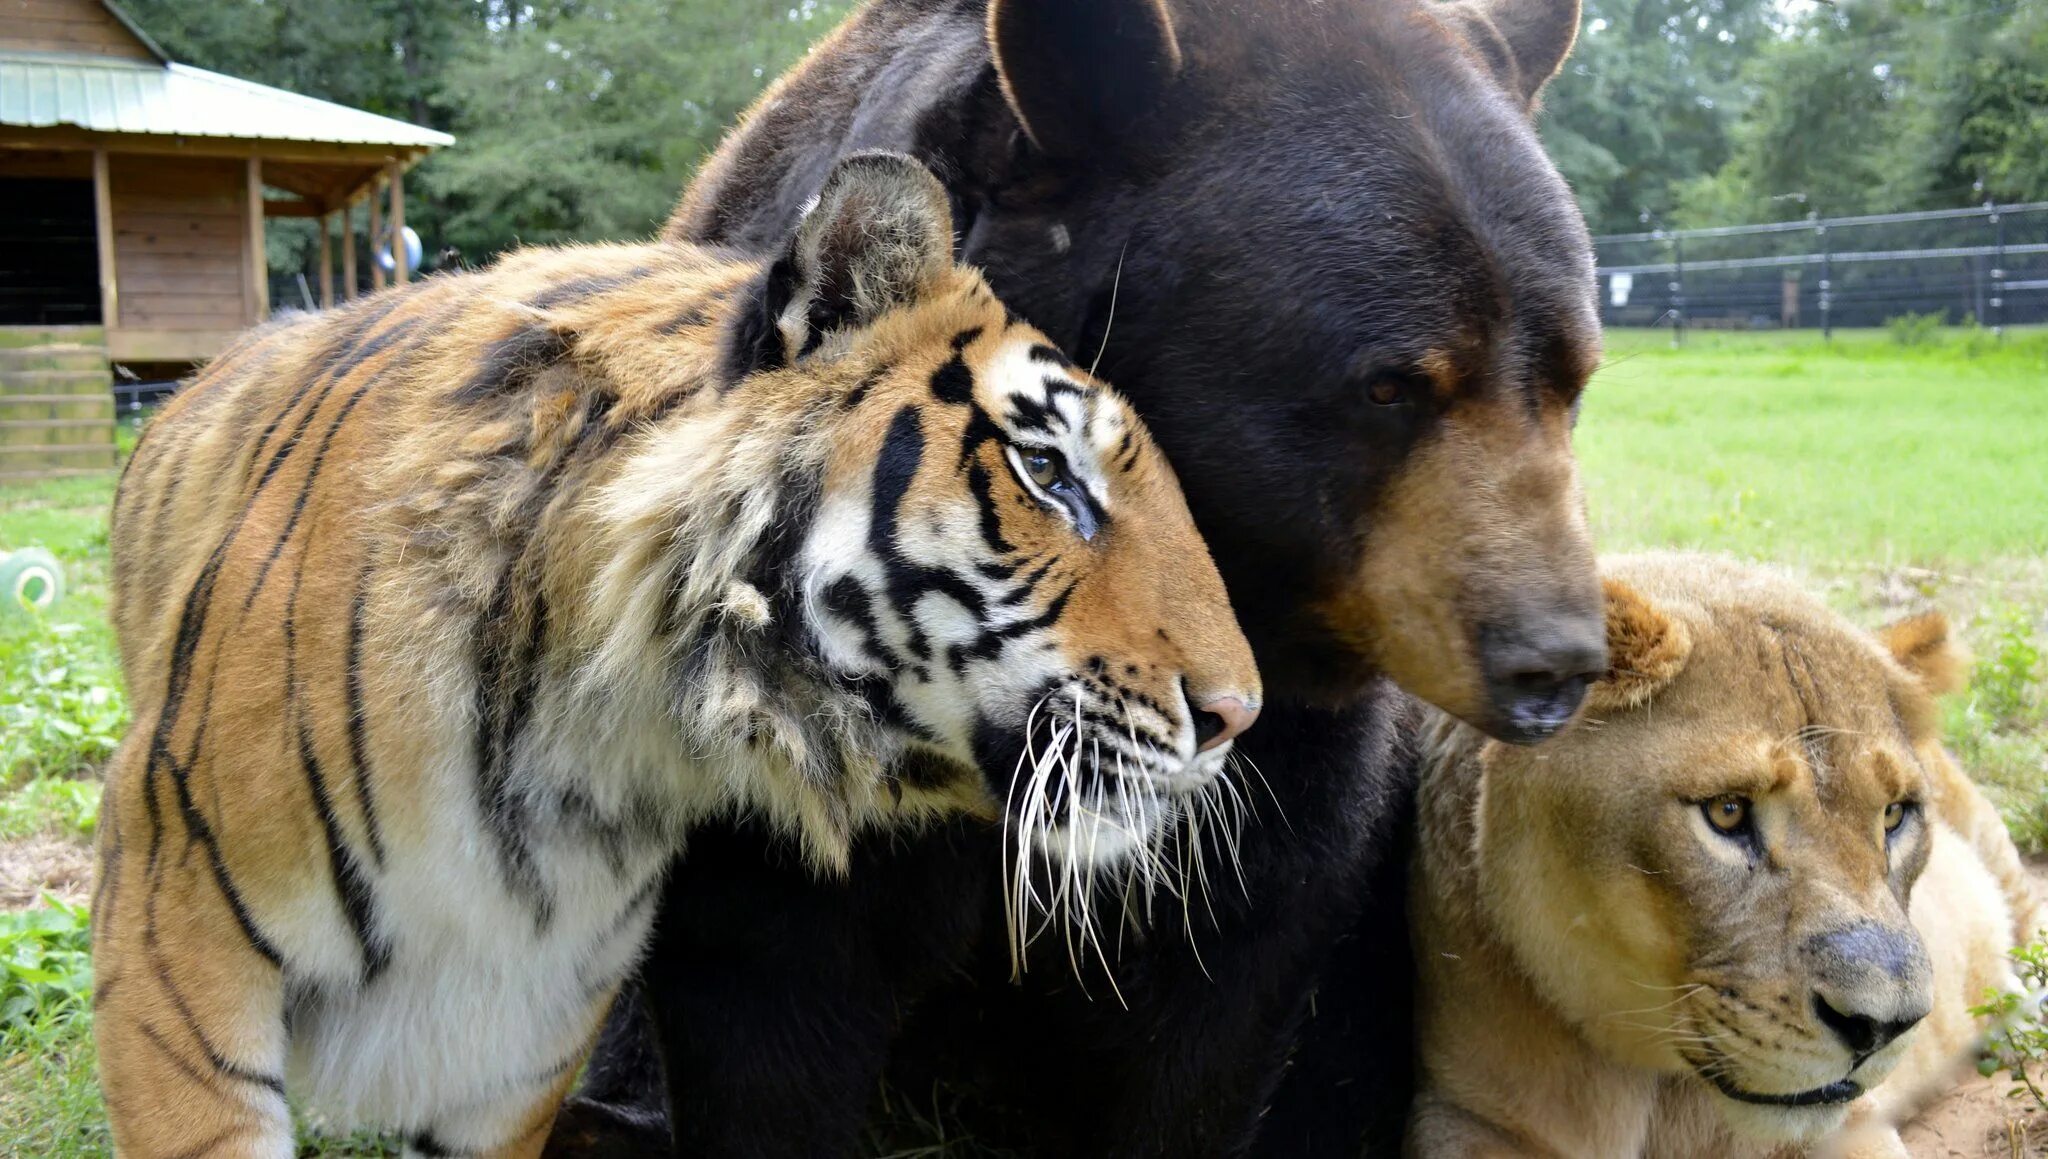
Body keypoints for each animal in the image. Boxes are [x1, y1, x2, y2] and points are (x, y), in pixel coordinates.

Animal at [1417, 552, 2039, 1159]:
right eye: (1727, 811)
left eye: (1893, 815)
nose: (1884, 1028)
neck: (1655, 1092)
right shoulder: (1460, 1116)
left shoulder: (1850, 1127)